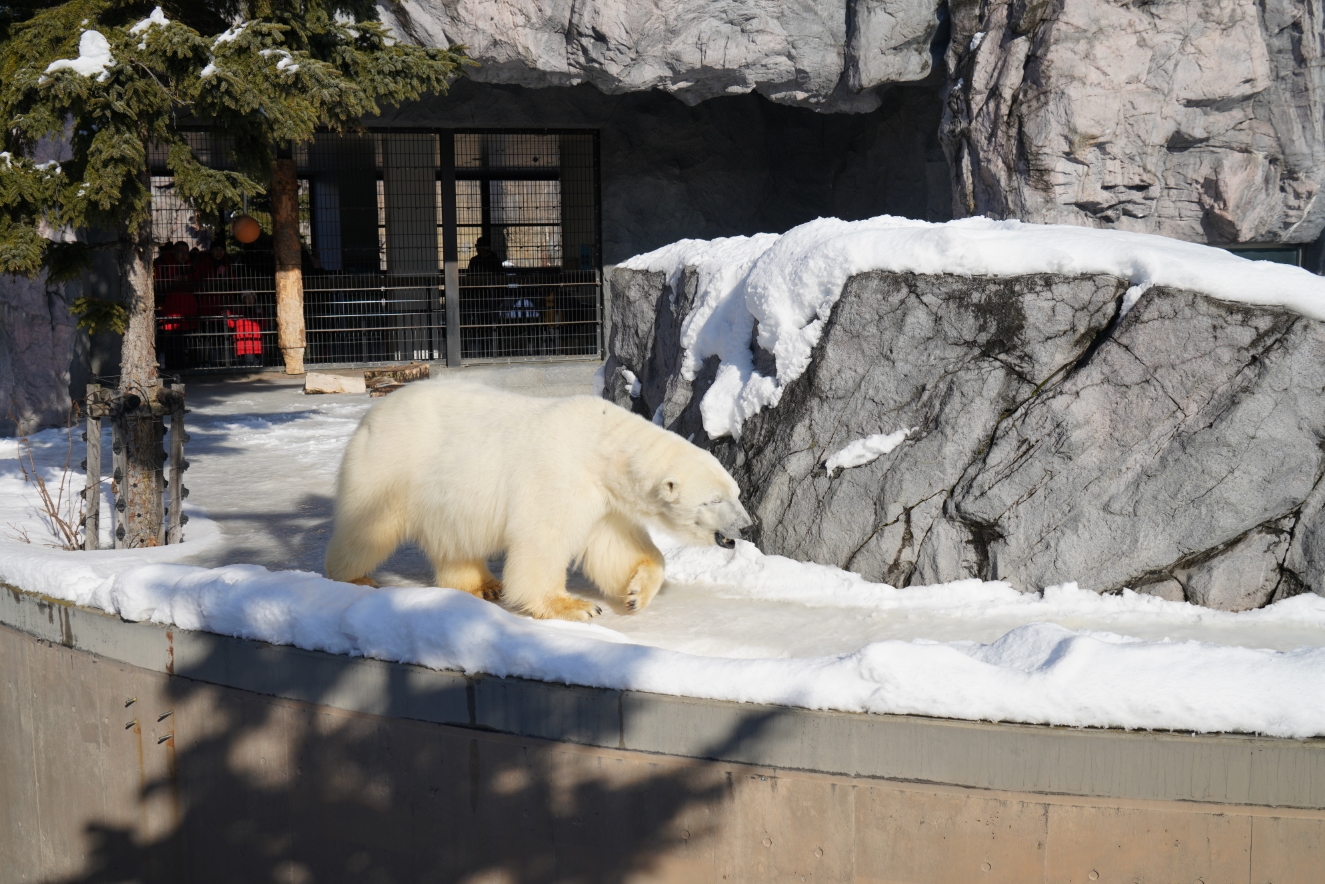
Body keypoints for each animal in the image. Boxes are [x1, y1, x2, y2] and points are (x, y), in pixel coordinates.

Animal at [324, 381, 752, 622]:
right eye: (714, 500)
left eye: (737, 493)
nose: (746, 526)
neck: (603, 448)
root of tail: (372, 414)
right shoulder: (559, 475)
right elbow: (543, 540)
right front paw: (576, 606)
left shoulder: (603, 500)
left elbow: (615, 547)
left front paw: (636, 594)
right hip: (391, 466)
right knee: (368, 527)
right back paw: (354, 576)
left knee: (454, 540)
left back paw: (482, 585)